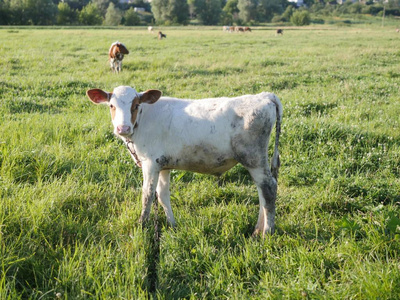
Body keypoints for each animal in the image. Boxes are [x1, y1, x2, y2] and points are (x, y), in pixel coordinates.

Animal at [86, 85, 282, 237]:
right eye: (111, 105)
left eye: (135, 105)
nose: (123, 128)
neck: (143, 120)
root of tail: (264, 95)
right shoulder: (163, 165)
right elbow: (163, 195)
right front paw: (172, 225)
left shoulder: (150, 163)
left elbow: (147, 195)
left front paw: (141, 226)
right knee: (262, 191)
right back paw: (258, 230)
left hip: (254, 158)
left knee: (268, 188)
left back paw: (267, 233)